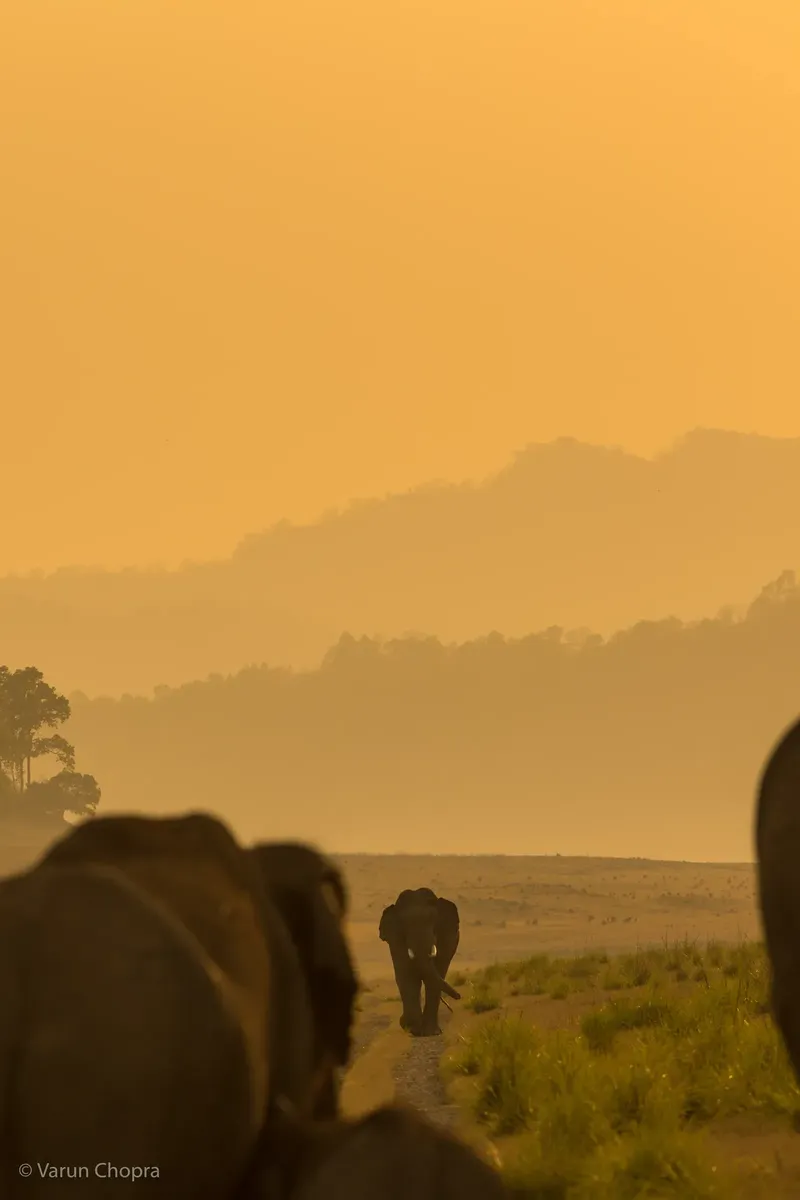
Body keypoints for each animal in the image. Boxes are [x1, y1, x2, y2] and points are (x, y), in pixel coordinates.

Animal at [379, 887, 461, 1036]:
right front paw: (413, 1029)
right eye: (405, 925)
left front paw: (431, 1033)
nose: (458, 996)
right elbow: (406, 975)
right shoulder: (395, 939)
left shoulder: (446, 937)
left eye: (433, 923)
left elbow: (437, 973)